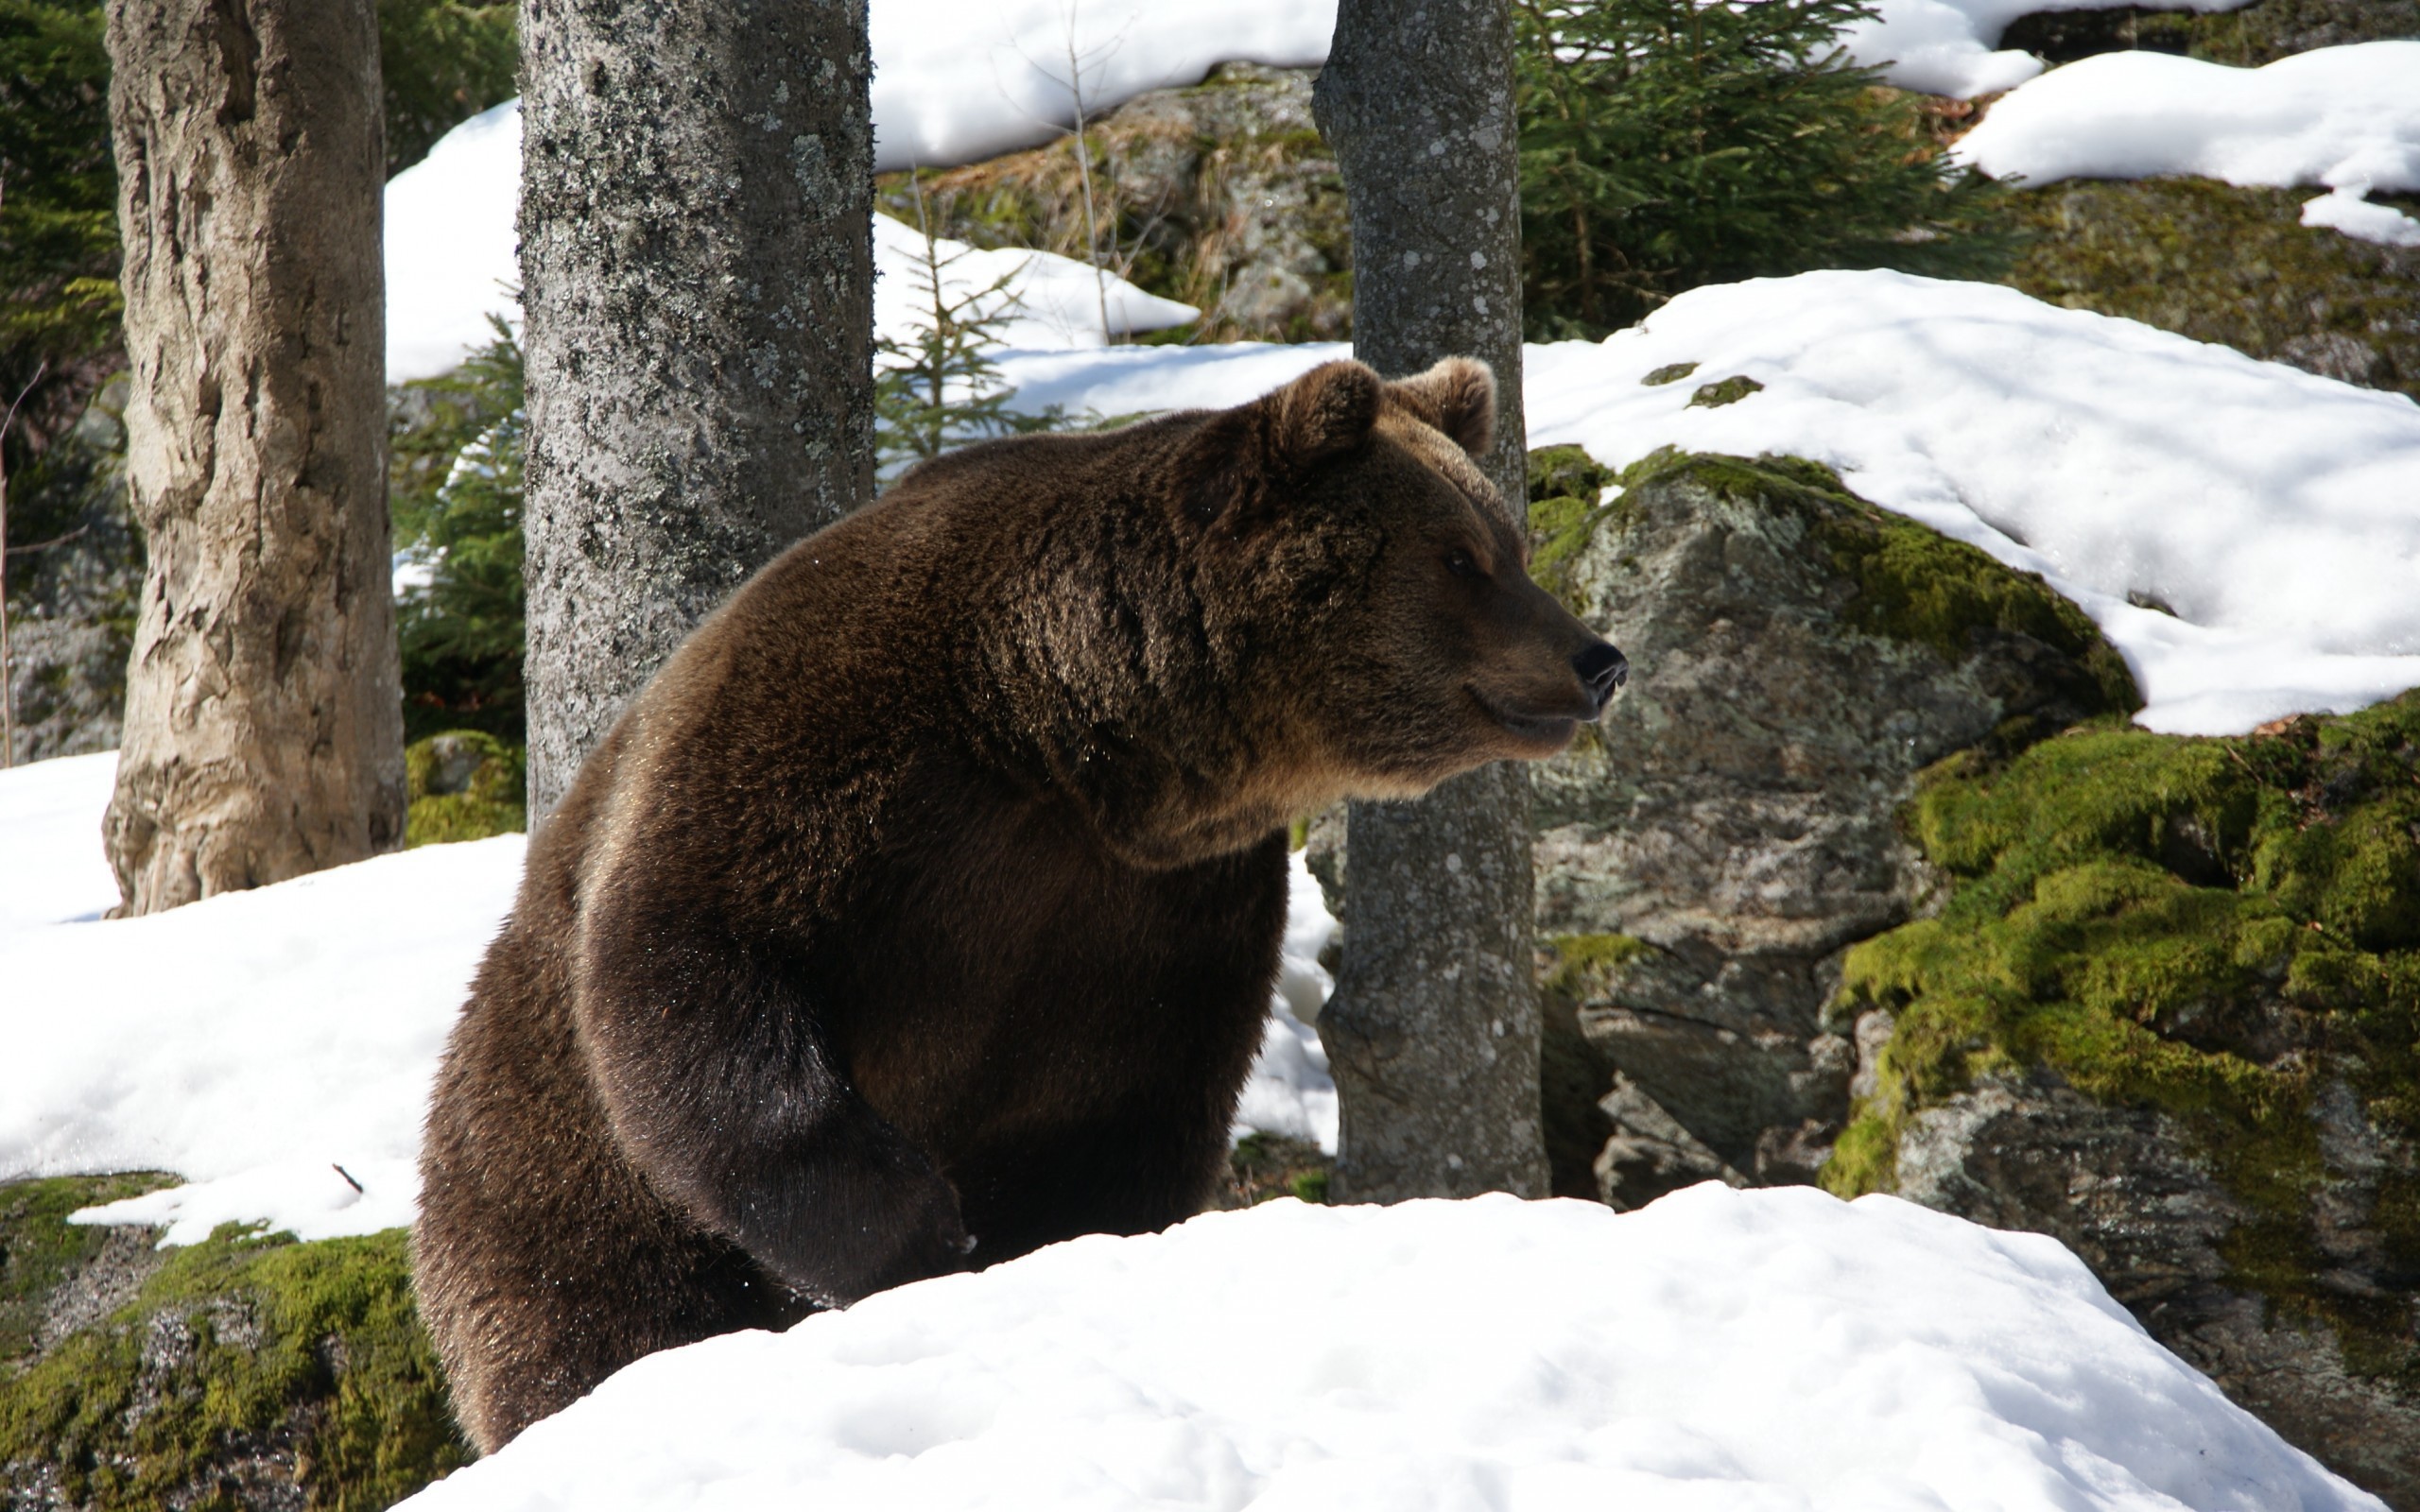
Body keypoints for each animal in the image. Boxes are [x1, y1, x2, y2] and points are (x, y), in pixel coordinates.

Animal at [411, 355, 1626, 1452]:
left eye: (1508, 544)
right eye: (1461, 556)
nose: (1597, 657)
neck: (1060, 729)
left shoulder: (1151, 910)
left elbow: (1122, 1111)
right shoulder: (827, 751)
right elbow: (694, 965)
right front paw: (914, 1226)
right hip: (544, 1183)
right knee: (588, 1319)